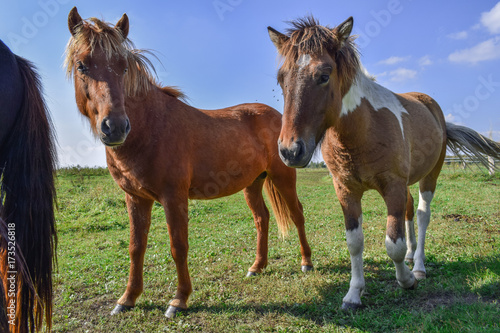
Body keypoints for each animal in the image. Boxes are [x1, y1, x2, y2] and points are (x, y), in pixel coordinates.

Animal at [64, 7, 310, 318]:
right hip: (253, 184)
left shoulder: (174, 197)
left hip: (283, 178)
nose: (116, 127)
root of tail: (279, 117)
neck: (150, 127)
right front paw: (127, 298)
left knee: (297, 214)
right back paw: (257, 267)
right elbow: (136, 247)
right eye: (81, 65)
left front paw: (179, 300)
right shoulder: (135, 198)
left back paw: (306, 262)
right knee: (261, 218)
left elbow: (178, 246)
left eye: (123, 67)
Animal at [268, 16, 500, 310]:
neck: (364, 129)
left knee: (422, 214)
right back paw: (412, 257)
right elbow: (355, 242)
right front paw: (354, 293)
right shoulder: (346, 190)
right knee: (410, 211)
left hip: (430, 176)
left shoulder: (393, 187)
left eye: (324, 76)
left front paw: (407, 280)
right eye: (281, 79)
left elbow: (393, 244)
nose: (290, 150)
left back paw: (419, 266)